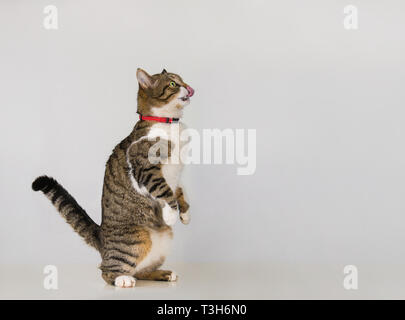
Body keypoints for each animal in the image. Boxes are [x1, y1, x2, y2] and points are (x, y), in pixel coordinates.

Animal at [32, 67, 193, 288]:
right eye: (172, 84)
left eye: (182, 80)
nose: (189, 87)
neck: (170, 124)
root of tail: (101, 235)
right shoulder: (146, 169)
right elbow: (165, 190)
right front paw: (172, 214)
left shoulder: (177, 173)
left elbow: (179, 189)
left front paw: (185, 213)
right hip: (136, 237)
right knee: (108, 270)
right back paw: (122, 279)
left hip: (162, 240)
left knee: (141, 270)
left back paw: (163, 274)